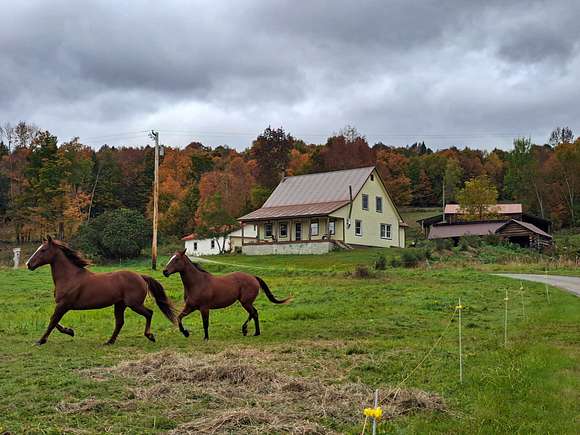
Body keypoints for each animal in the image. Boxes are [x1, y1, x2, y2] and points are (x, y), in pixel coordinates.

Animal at [27, 237, 177, 346]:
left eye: (43, 250)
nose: (28, 264)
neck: (70, 277)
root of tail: (140, 276)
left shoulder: (63, 305)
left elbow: (52, 321)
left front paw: (40, 341)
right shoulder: (62, 306)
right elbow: (54, 321)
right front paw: (70, 331)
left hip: (134, 304)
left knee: (149, 313)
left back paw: (149, 336)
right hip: (120, 305)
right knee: (120, 322)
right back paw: (109, 341)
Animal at [162, 252, 290, 340]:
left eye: (176, 259)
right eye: (171, 258)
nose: (165, 271)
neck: (197, 283)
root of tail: (253, 277)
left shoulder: (204, 308)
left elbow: (205, 323)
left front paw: (206, 338)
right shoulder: (190, 307)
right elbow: (179, 318)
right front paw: (186, 333)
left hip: (245, 302)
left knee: (254, 313)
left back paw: (248, 330)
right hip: (246, 302)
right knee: (254, 313)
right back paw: (252, 332)